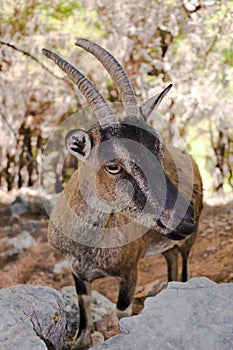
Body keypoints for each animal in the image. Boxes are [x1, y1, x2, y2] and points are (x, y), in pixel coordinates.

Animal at [42, 39, 203, 348]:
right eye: (113, 166)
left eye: (158, 148)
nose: (184, 218)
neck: (90, 243)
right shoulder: (77, 272)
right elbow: (84, 314)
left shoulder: (130, 272)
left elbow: (121, 314)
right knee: (171, 259)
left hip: (189, 241)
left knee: (185, 263)